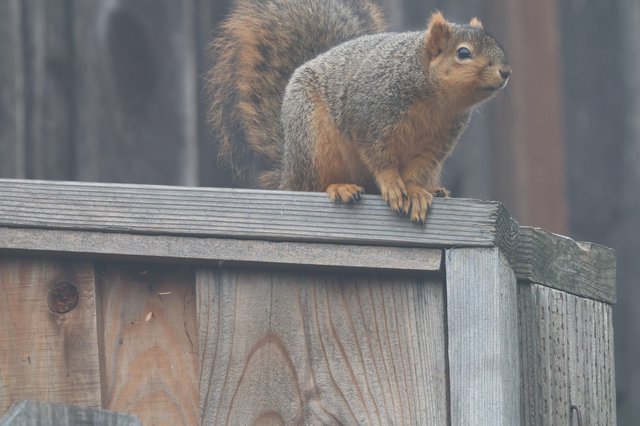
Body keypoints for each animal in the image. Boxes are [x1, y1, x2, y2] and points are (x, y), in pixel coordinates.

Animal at [207, 0, 511, 223]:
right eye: (463, 53)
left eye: (498, 46)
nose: (506, 72)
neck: (435, 99)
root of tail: (288, 173)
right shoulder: (370, 115)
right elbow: (378, 156)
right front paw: (393, 184)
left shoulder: (437, 143)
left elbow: (417, 169)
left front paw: (415, 192)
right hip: (314, 142)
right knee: (314, 185)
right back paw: (339, 188)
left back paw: (434, 189)